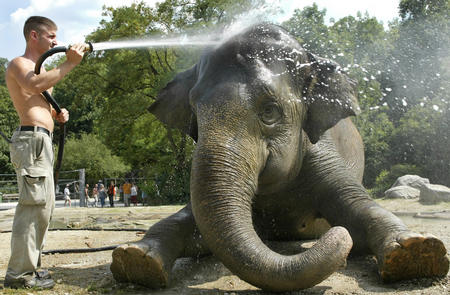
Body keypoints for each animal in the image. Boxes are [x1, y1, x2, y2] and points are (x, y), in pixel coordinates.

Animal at [108, 23, 446, 294]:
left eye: (269, 111)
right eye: (195, 113)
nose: (335, 235)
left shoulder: (321, 151)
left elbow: (359, 207)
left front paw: (415, 251)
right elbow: (193, 224)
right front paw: (135, 258)